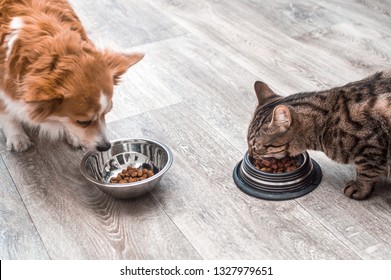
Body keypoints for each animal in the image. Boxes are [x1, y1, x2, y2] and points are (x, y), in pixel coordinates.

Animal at [0, 0, 144, 152]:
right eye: (83, 122)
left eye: (107, 112)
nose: (105, 146)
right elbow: (7, 113)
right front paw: (17, 136)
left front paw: (73, 135)